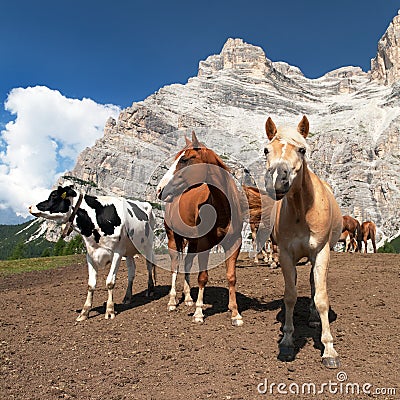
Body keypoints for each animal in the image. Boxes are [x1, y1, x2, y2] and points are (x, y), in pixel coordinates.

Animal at [29, 187, 156, 322]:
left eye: (53, 195)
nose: (31, 207)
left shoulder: (117, 253)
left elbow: (110, 282)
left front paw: (110, 311)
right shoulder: (90, 254)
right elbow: (91, 285)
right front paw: (84, 312)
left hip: (147, 246)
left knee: (149, 266)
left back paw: (150, 290)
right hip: (129, 252)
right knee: (131, 272)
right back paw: (127, 297)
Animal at [156, 133, 244, 326]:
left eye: (185, 159)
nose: (160, 189)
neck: (222, 207)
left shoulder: (234, 244)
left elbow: (231, 276)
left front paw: (235, 313)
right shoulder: (204, 244)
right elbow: (203, 277)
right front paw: (198, 313)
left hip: (192, 242)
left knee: (187, 264)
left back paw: (188, 298)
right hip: (173, 239)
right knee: (175, 266)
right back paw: (172, 301)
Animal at [264, 115, 342, 368]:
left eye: (302, 149)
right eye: (266, 150)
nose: (278, 181)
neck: (302, 210)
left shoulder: (321, 252)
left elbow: (322, 298)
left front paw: (329, 349)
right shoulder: (286, 254)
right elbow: (290, 296)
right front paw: (287, 342)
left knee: (314, 285)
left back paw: (314, 318)